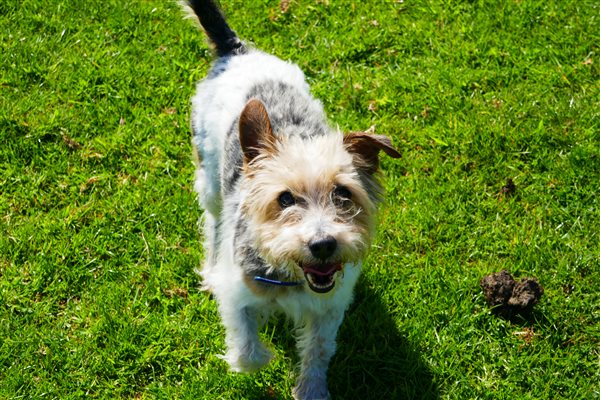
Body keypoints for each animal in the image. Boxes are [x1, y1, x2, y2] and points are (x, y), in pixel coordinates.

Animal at [180, 1, 400, 398]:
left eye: (343, 193)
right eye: (284, 199)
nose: (323, 244)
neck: (295, 277)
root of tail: (237, 50)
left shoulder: (329, 306)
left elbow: (318, 349)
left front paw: (310, 388)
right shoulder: (237, 292)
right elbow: (248, 351)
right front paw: (257, 356)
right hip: (208, 175)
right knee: (212, 221)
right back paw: (209, 263)